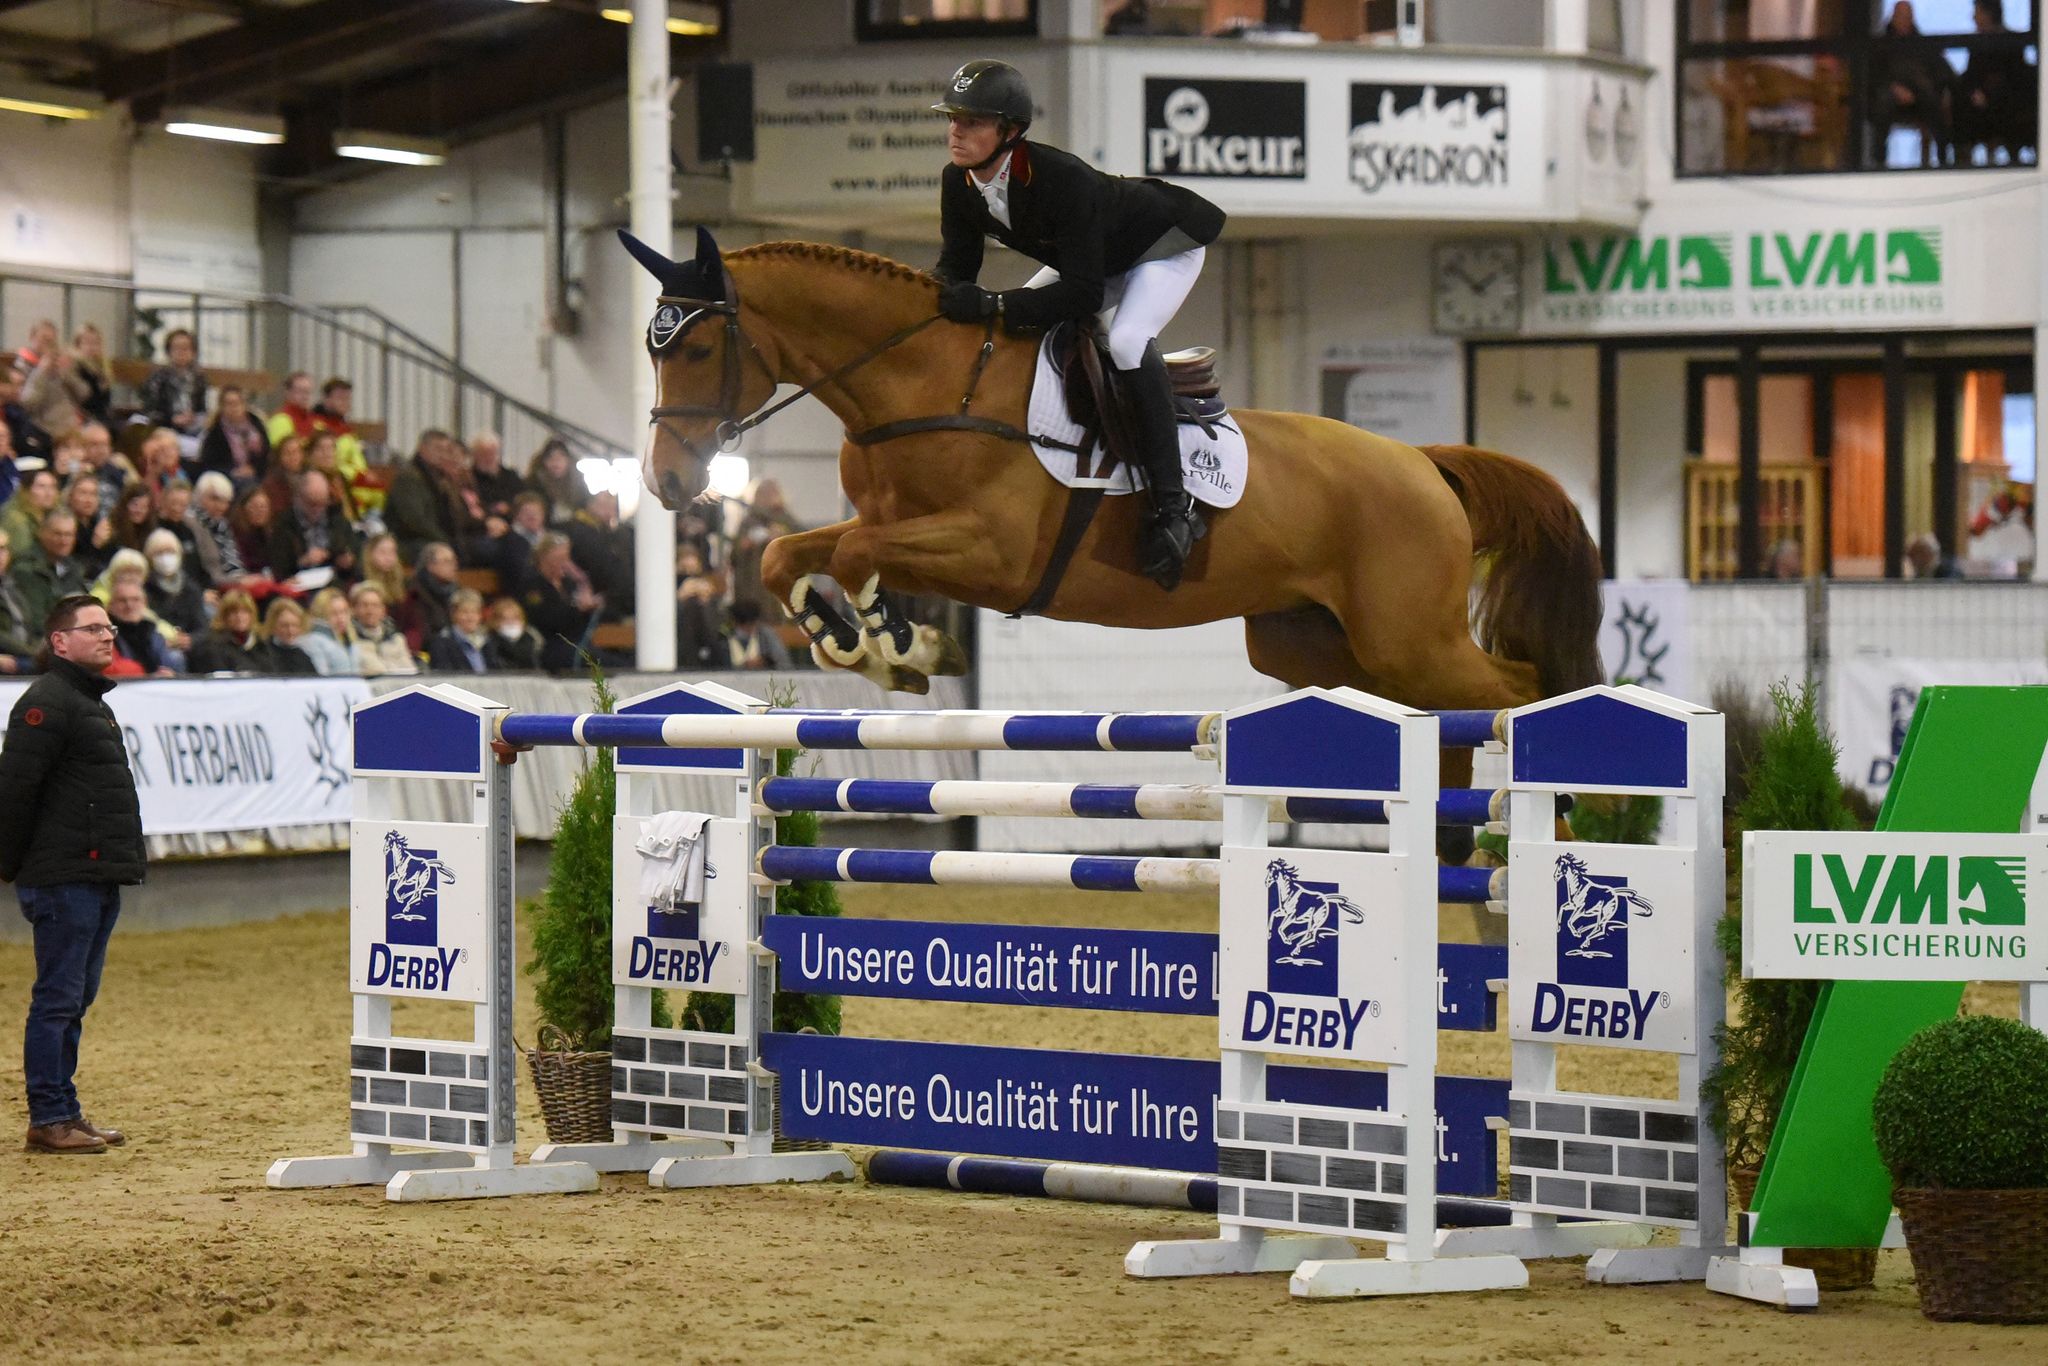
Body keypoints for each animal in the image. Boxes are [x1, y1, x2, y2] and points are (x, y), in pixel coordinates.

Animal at [614, 229, 1605, 741]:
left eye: (694, 348)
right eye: (651, 349)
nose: (666, 480)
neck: (923, 384)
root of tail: (1424, 463)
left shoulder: (990, 553)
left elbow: (856, 553)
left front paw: (898, 644)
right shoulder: (902, 527)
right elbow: (788, 554)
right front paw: (862, 645)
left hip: (1410, 639)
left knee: (1516, 687)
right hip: (1319, 647)